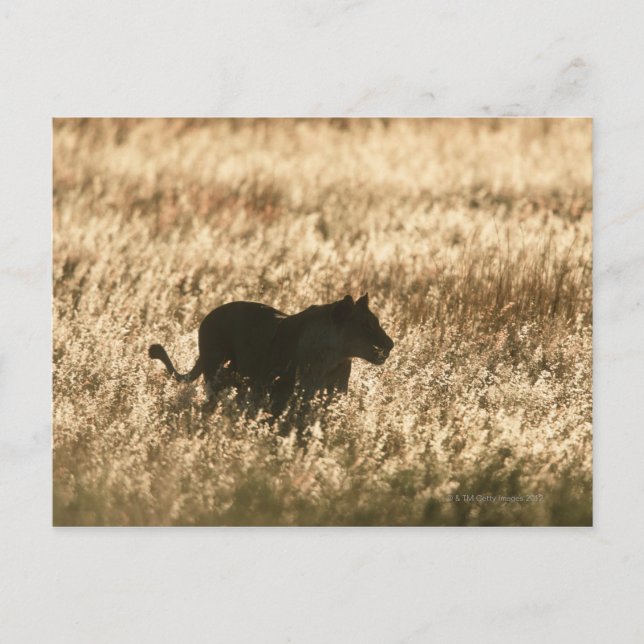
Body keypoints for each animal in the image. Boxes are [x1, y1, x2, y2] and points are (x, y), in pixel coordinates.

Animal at [149, 293, 394, 415]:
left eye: (377, 322)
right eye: (366, 325)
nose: (390, 344)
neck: (335, 359)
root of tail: (209, 316)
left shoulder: (333, 393)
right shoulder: (284, 391)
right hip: (215, 372)